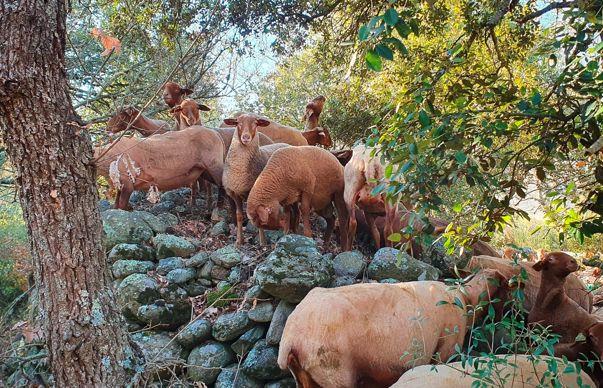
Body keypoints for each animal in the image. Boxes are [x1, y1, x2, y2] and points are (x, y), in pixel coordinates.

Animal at [93, 125, 225, 209]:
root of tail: (217, 134)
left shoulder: (128, 183)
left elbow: (122, 206)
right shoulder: (121, 185)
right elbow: (116, 204)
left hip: (214, 164)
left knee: (223, 184)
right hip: (203, 170)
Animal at [222, 113, 290, 246]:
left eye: (255, 123)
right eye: (238, 123)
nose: (246, 137)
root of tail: (287, 144)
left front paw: (262, 241)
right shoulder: (234, 193)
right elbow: (239, 216)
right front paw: (239, 240)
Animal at [280, 270, 516, 388]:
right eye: (506, 289)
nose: (512, 315)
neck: (466, 299)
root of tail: (290, 339)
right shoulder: (446, 348)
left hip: (306, 377)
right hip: (335, 374)